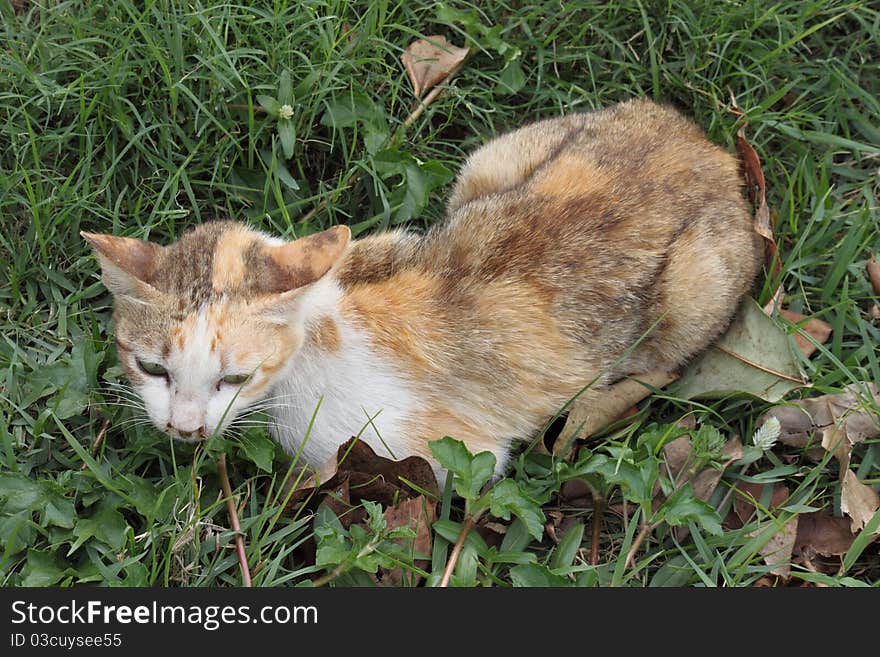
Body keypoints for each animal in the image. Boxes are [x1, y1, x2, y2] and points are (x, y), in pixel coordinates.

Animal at [81, 97, 764, 476]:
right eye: (152, 368)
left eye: (234, 378)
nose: (184, 431)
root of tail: (701, 143)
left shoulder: (451, 454)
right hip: (491, 161)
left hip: (697, 284)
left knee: (668, 364)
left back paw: (590, 410)